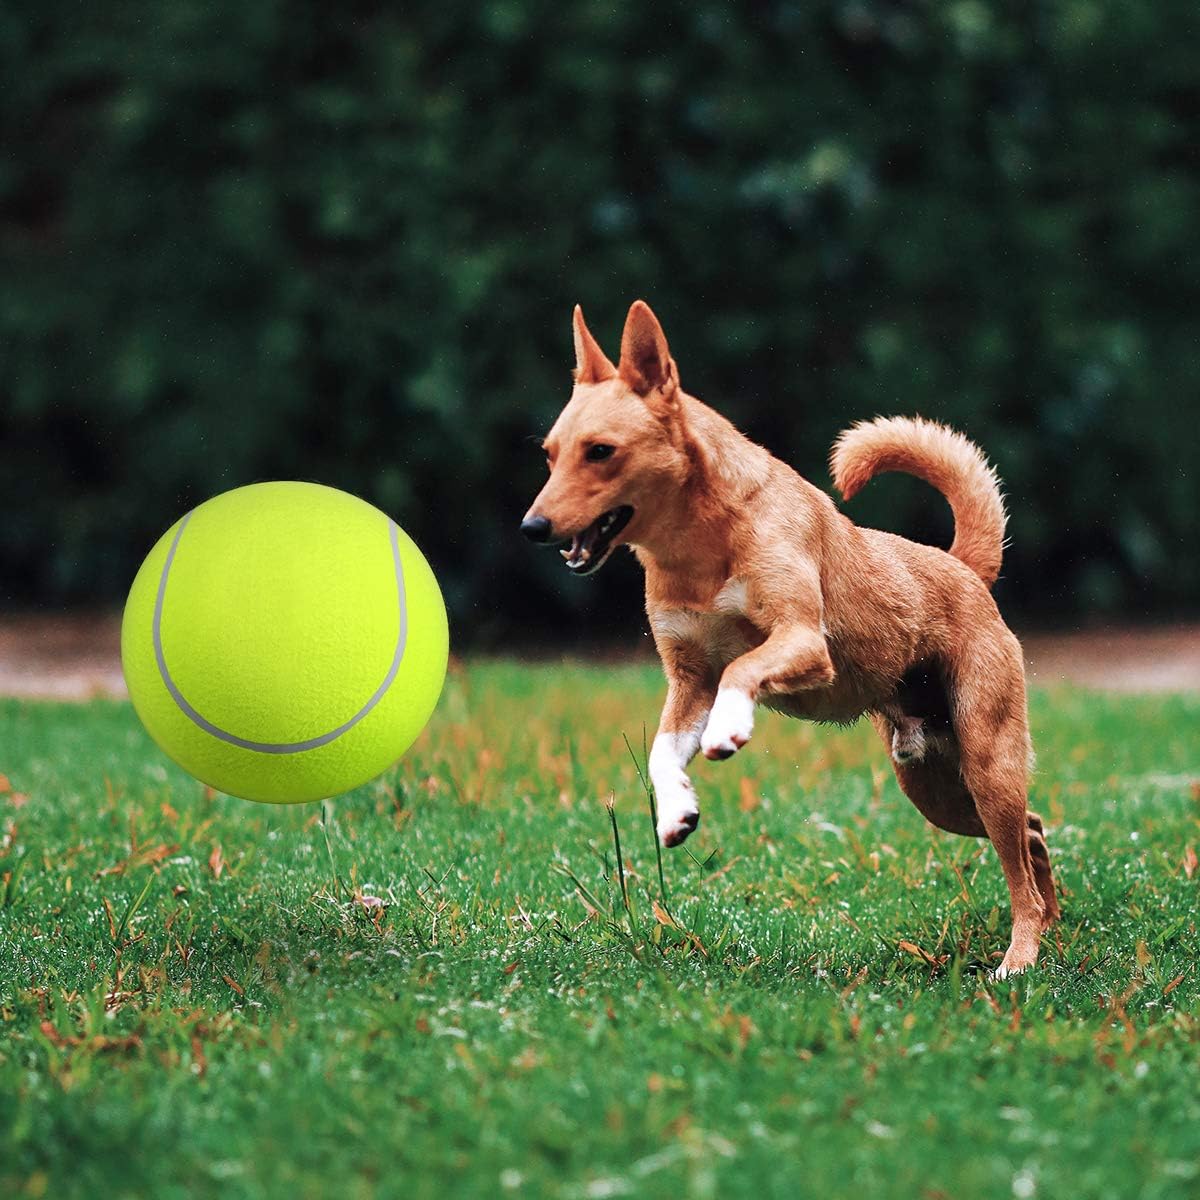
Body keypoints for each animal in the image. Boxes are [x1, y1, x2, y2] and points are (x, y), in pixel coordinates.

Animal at [523, 297, 1060, 974]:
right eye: (550, 454)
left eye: (600, 451)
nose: (531, 527)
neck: (699, 549)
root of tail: (962, 567)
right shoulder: (687, 680)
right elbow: (662, 750)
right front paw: (676, 811)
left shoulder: (802, 641)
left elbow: (742, 669)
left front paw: (729, 729)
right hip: (933, 787)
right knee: (1033, 836)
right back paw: (1055, 930)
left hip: (987, 762)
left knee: (1019, 863)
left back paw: (1021, 958)